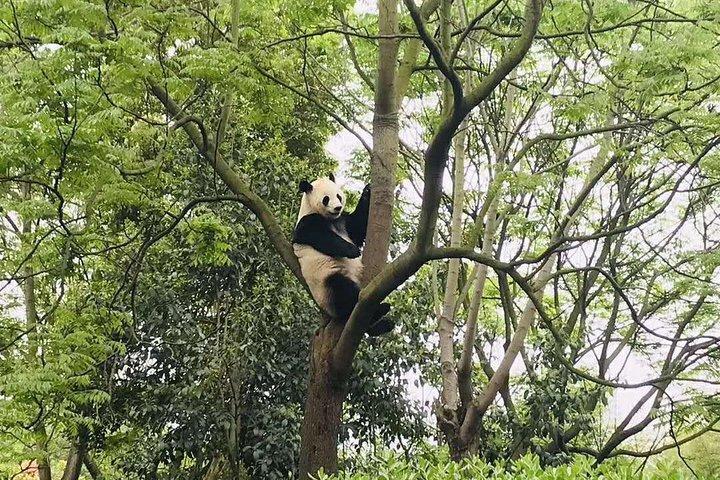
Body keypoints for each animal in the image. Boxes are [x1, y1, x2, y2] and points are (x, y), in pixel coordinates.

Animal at [293, 174, 394, 336]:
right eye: (326, 199)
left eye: (339, 196)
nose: (338, 208)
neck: (330, 219)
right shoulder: (307, 222)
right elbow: (317, 235)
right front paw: (353, 251)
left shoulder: (343, 221)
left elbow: (358, 227)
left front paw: (367, 191)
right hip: (326, 281)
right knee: (343, 292)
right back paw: (379, 310)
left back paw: (383, 325)